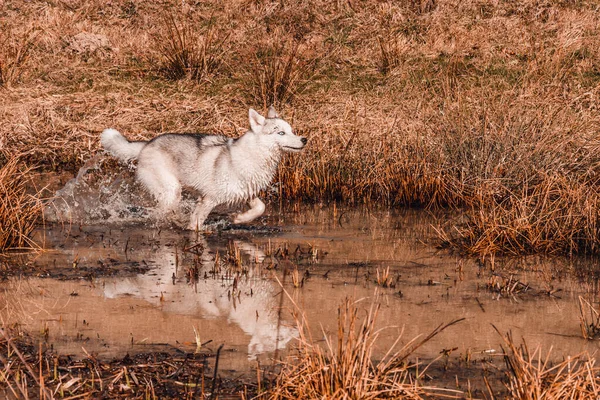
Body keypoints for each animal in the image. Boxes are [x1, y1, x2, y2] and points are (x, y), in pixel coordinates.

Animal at [101, 106, 308, 230]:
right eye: (280, 133)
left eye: (291, 130)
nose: (304, 139)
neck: (254, 156)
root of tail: (146, 144)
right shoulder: (209, 199)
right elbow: (196, 224)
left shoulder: (246, 193)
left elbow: (260, 208)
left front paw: (239, 219)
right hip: (171, 191)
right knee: (160, 213)